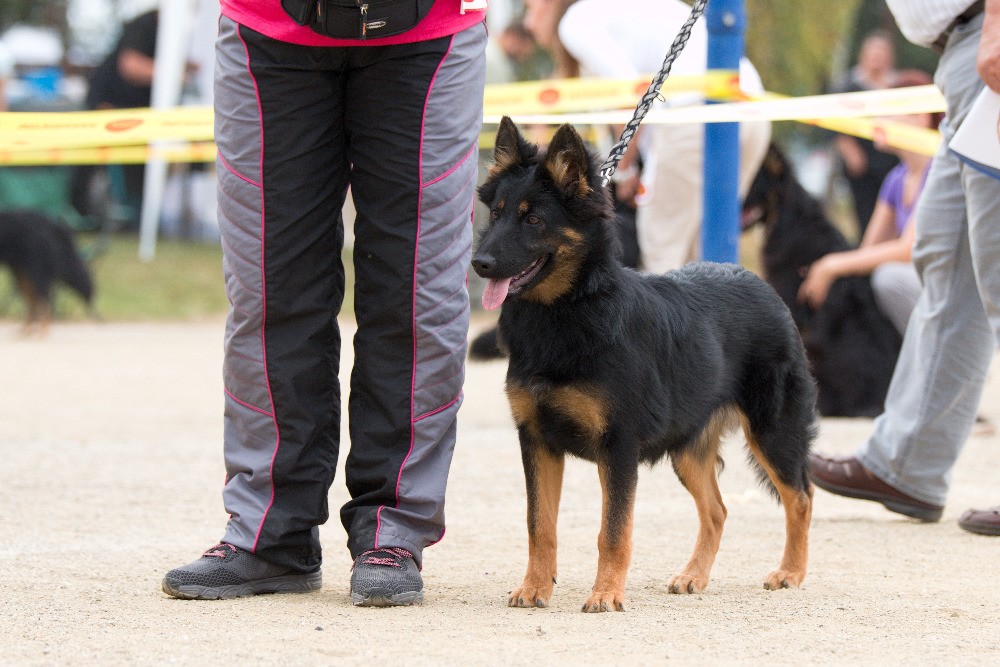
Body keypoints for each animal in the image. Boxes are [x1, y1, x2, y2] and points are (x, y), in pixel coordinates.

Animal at [471, 117, 816, 612]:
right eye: (496, 214)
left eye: (533, 219)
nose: (479, 264)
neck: (570, 310)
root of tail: (759, 283)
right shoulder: (537, 441)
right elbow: (540, 525)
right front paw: (536, 587)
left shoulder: (617, 448)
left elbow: (612, 531)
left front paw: (606, 594)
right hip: (688, 450)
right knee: (717, 511)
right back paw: (694, 576)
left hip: (772, 433)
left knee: (800, 498)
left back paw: (791, 571)